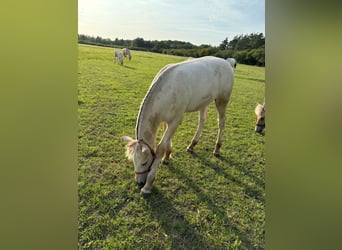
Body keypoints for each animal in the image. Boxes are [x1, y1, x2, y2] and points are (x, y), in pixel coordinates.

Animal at [122, 56, 235, 195]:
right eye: (133, 161)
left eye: (144, 162)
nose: (139, 182)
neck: (166, 91)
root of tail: (227, 62)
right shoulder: (166, 120)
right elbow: (166, 141)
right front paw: (167, 157)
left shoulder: (176, 120)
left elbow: (160, 148)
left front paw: (148, 186)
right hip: (203, 102)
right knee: (202, 120)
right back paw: (192, 145)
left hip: (222, 100)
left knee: (221, 122)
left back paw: (217, 148)